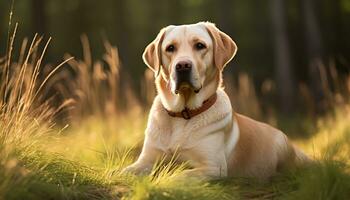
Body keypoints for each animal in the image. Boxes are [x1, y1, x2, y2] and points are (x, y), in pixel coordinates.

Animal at [123, 21, 308, 180]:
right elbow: (124, 171)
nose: (182, 66)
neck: (183, 113)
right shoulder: (145, 161)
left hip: (282, 146)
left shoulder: (213, 167)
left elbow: (178, 176)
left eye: (200, 45)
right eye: (170, 48)